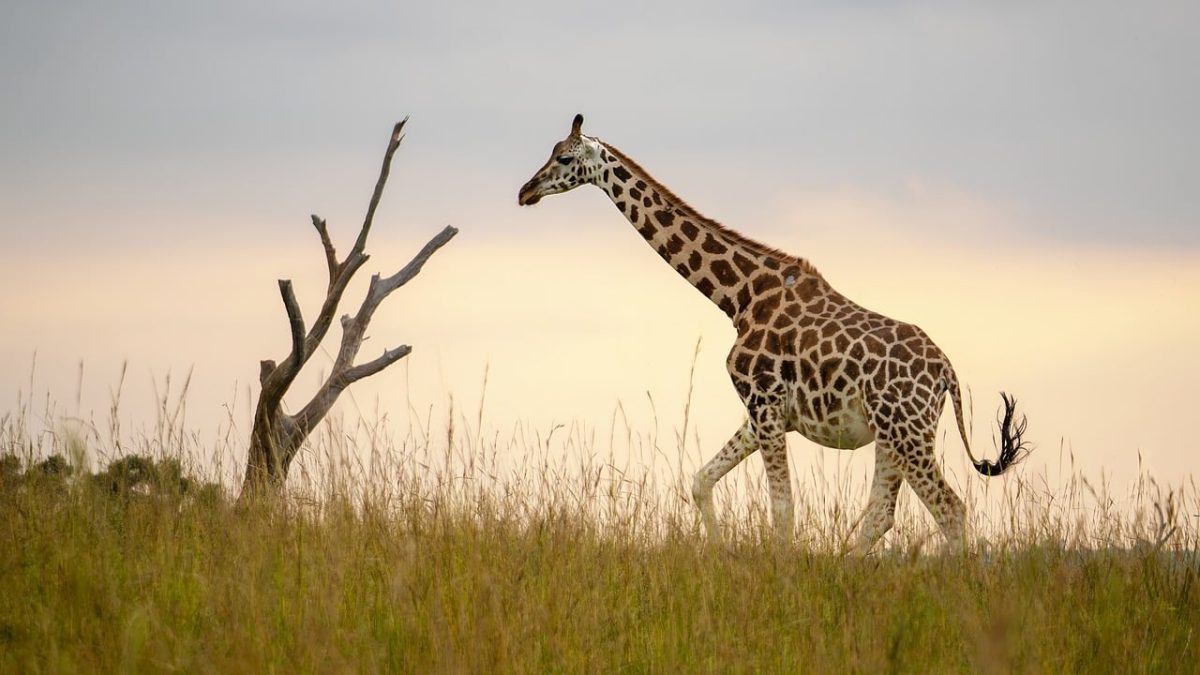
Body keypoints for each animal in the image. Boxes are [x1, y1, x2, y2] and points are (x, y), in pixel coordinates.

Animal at [518, 114, 1030, 552]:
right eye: (552, 152)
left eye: (565, 159)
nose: (526, 191)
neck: (739, 298)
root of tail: (947, 372)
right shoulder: (763, 412)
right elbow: (701, 480)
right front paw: (720, 553)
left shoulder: (764, 403)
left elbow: (781, 507)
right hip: (892, 434)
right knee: (882, 513)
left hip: (907, 431)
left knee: (950, 509)